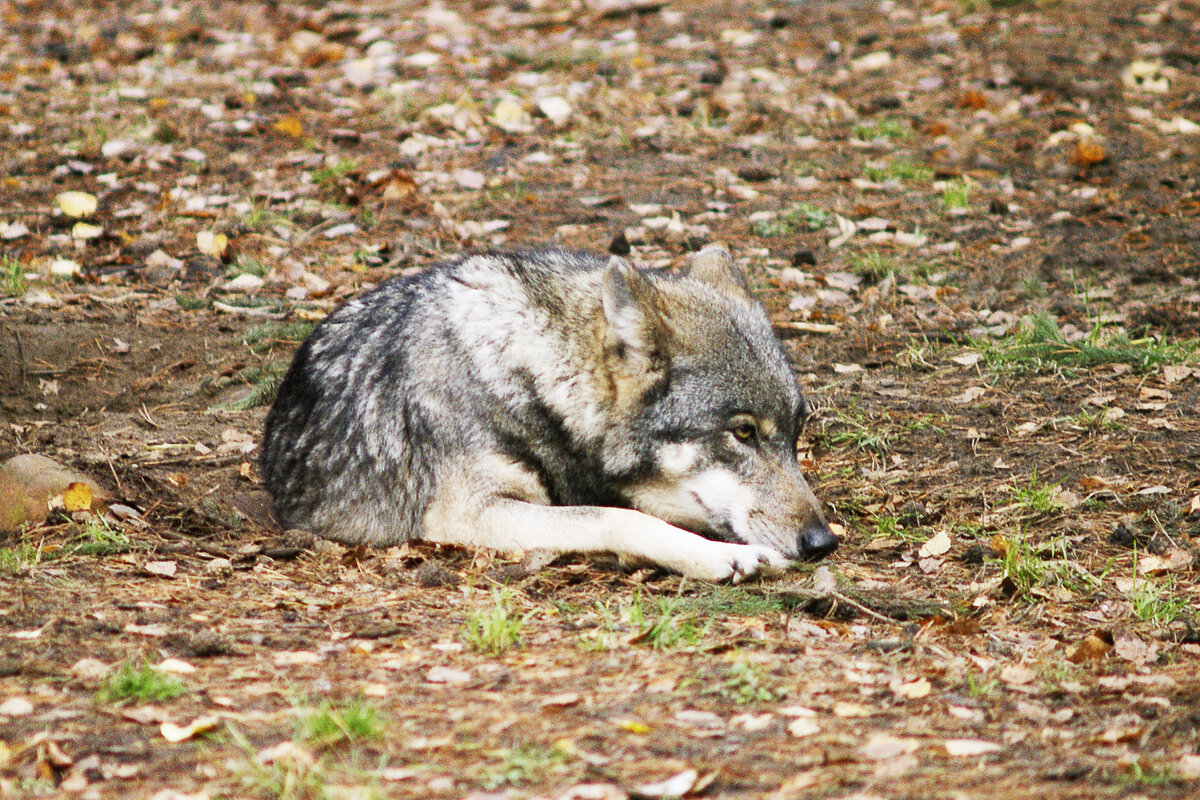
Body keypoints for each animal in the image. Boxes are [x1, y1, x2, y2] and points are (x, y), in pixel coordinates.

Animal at [258, 245, 840, 582]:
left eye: (794, 435)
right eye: (742, 432)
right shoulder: (467, 513)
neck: (527, 368)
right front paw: (720, 556)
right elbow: (615, 517)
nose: (822, 543)